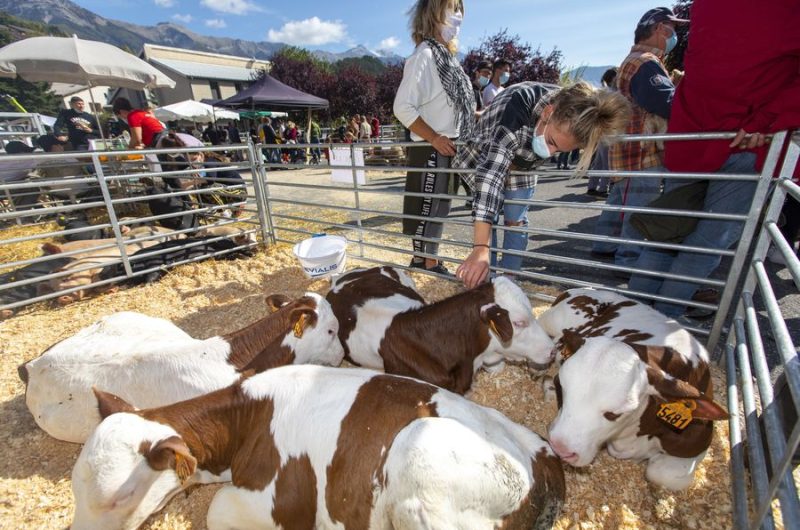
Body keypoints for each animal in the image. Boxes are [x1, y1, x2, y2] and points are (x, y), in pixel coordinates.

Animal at [72, 364, 564, 528]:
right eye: (76, 491)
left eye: (121, 495)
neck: (249, 417)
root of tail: (542, 460)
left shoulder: (284, 502)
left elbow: (216, 512)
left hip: (420, 467)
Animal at [540, 288, 728, 486]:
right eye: (562, 388)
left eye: (615, 414)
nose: (560, 449)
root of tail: (584, 289)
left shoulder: (697, 443)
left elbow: (662, 473)